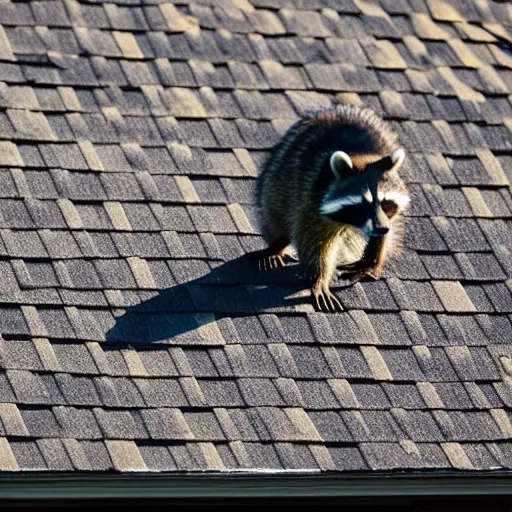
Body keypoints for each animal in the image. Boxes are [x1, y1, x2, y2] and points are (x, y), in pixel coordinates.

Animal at [254, 104, 410, 312]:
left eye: (385, 202)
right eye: (364, 204)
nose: (380, 228)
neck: (360, 154)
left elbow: (383, 235)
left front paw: (371, 261)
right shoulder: (312, 196)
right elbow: (315, 243)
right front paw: (319, 279)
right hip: (283, 167)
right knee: (275, 206)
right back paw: (278, 243)